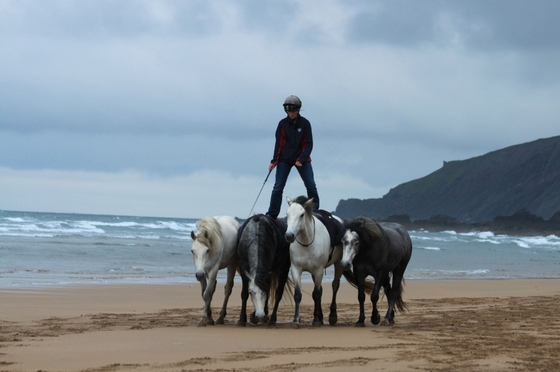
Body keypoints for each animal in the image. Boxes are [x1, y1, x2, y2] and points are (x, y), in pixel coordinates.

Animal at [284, 196, 364, 326]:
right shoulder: (296, 269)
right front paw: (296, 319)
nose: (289, 236)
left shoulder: (318, 270)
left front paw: (316, 319)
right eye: (287, 214)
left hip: (339, 265)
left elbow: (316, 294)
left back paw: (332, 316)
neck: (307, 243)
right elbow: (298, 294)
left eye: (302, 215)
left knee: (335, 285)